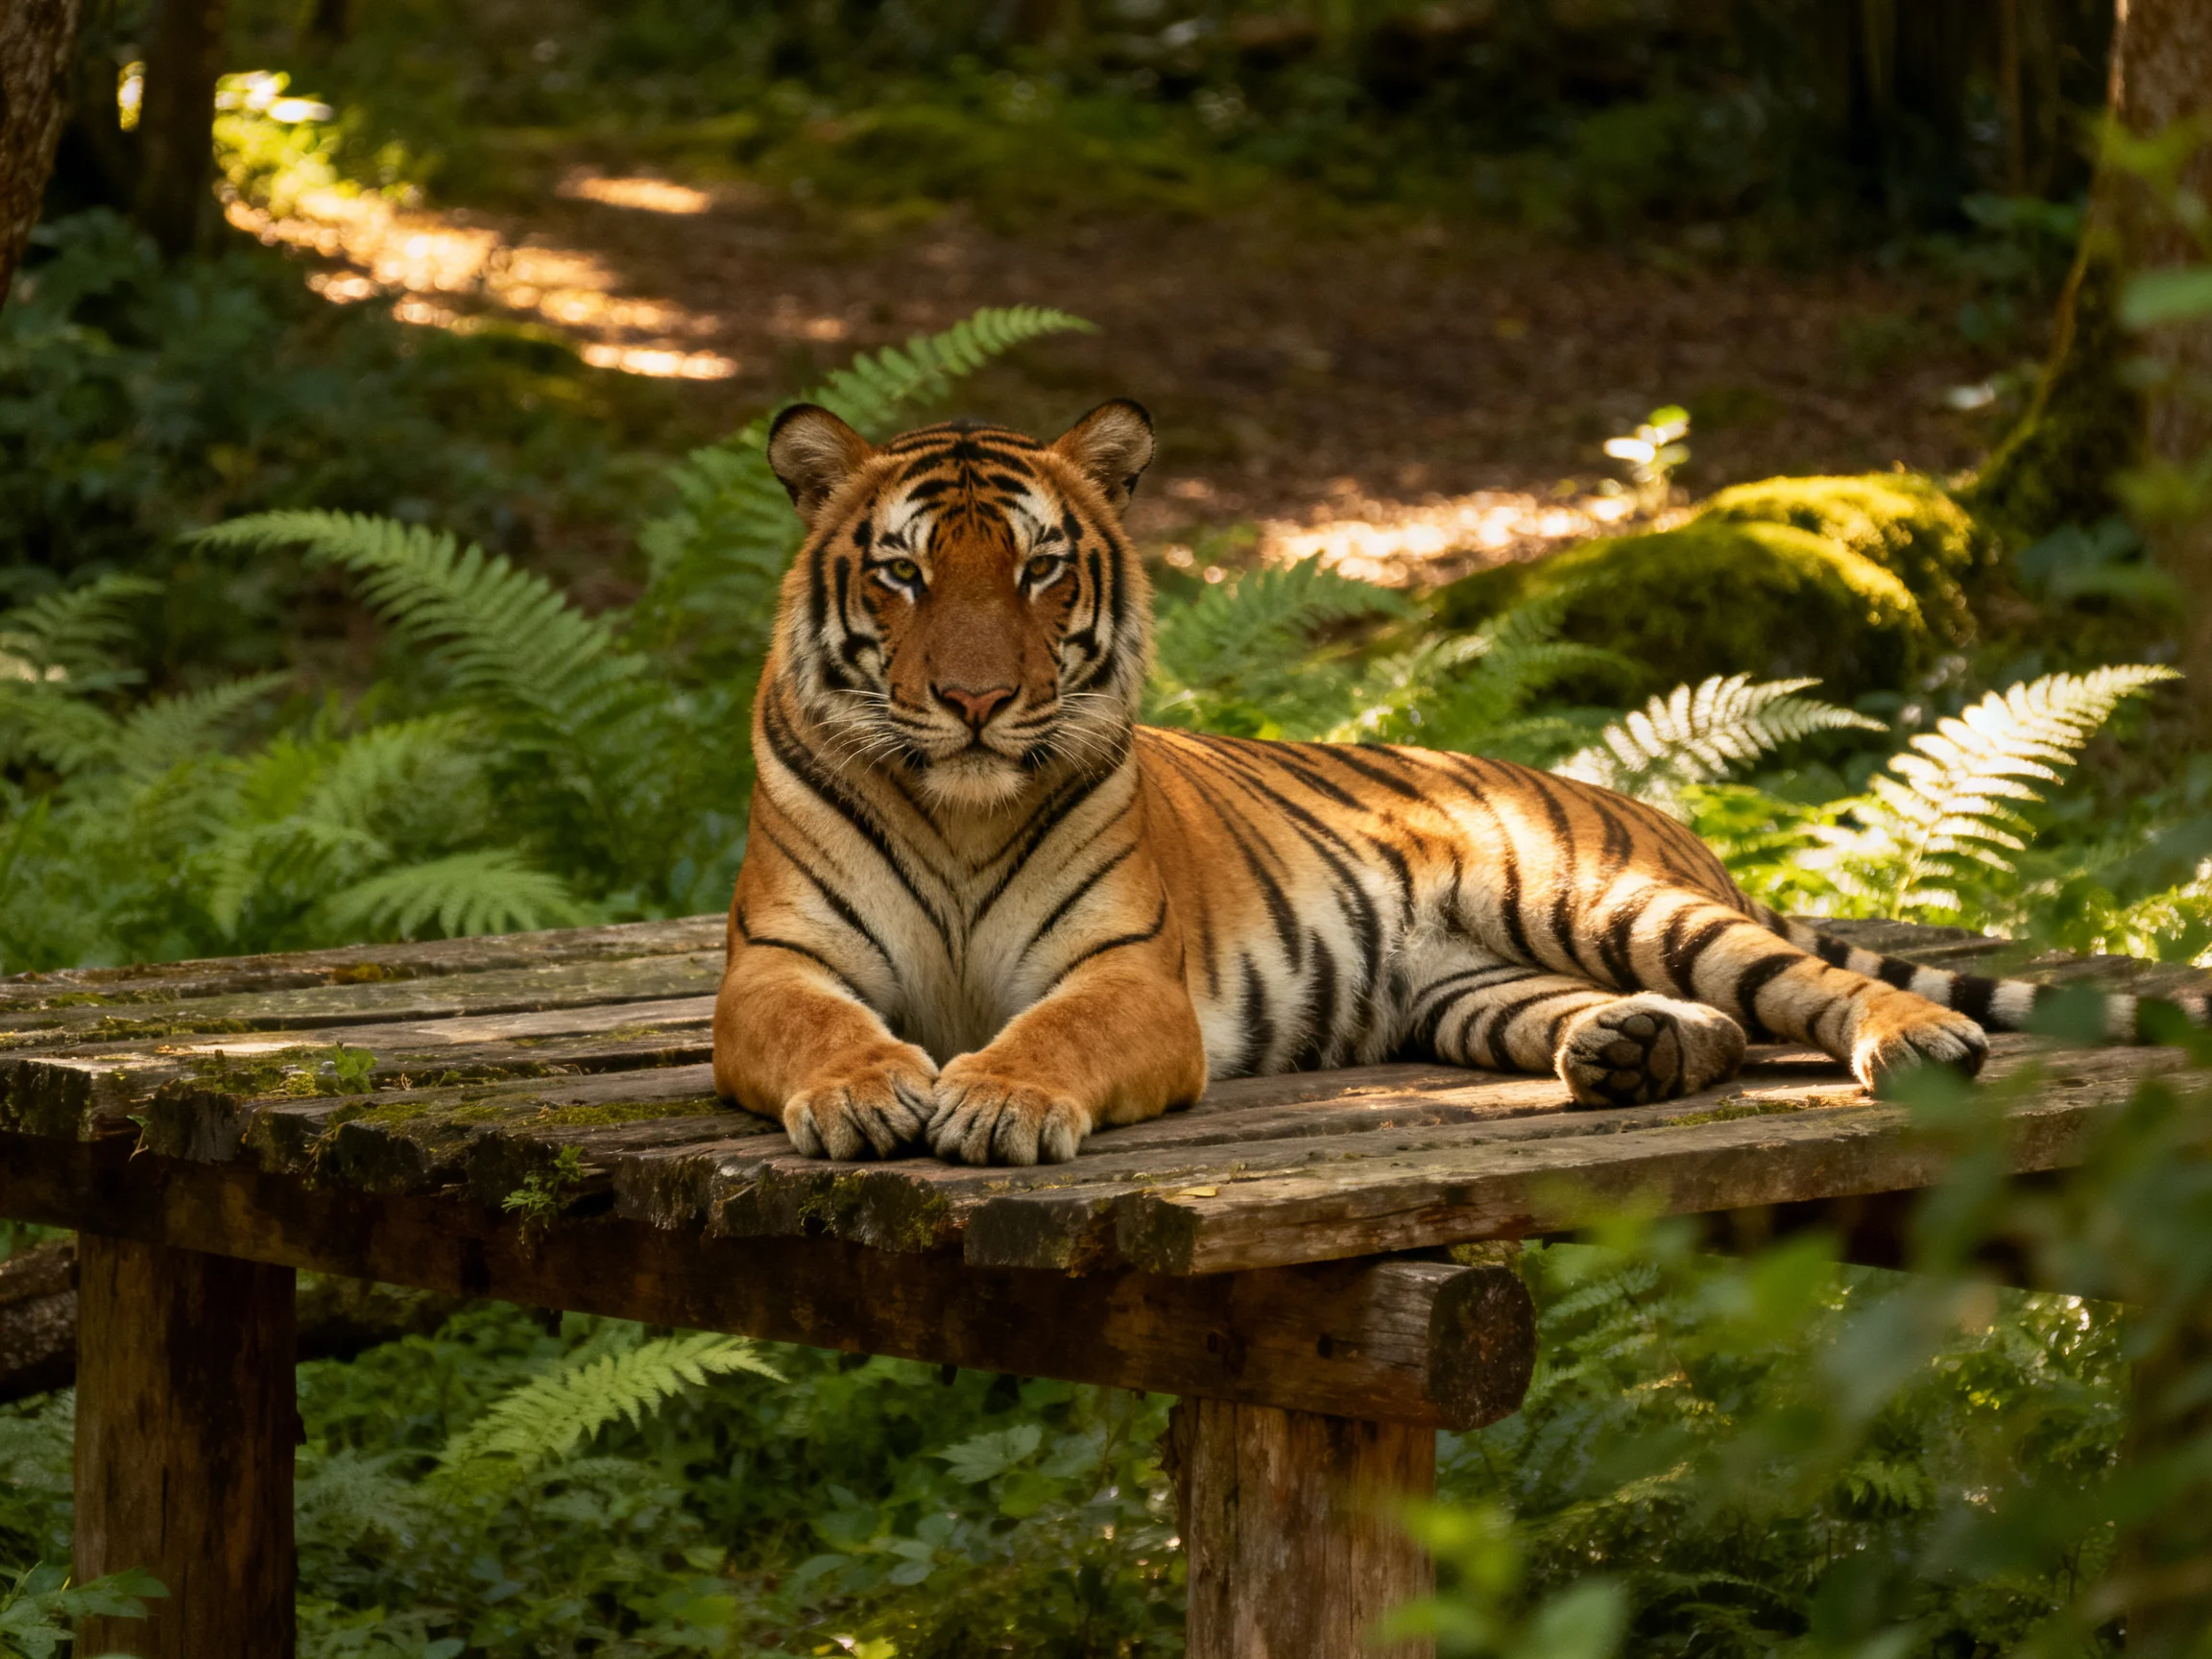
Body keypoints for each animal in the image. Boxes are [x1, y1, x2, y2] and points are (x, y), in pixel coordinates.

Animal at [710, 399, 2208, 1166]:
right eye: (902, 574)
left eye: (1037, 569)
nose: (972, 703)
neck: (961, 808)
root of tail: (1658, 813)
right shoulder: (778, 968)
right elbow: (821, 1031)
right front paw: (866, 1093)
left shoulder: (1124, 977)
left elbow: (1053, 1036)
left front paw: (998, 1101)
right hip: (1468, 987)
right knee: (1702, 1025)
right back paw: (1633, 1050)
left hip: (1600, 898)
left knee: (1806, 988)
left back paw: (1920, 1041)